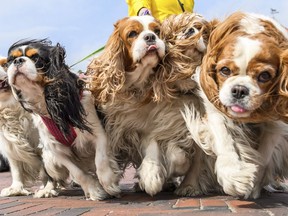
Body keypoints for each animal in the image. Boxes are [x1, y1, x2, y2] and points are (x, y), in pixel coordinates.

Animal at [6, 39, 121, 201]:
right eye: (10, 61)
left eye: (36, 58)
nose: (17, 61)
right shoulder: (56, 149)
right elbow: (78, 173)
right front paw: (94, 190)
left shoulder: (99, 134)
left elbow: (101, 160)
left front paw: (109, 182)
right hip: (48, 160)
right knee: (53, 176)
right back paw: (47, 190)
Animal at [183, 11, 288, 197]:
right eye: (224, 70)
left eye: (265, 76)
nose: (239, 90)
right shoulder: (215, 108)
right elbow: (224, 140)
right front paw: (233, 177)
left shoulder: (276, 124)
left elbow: (263, 156)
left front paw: (253, 185)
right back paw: (189, 186)